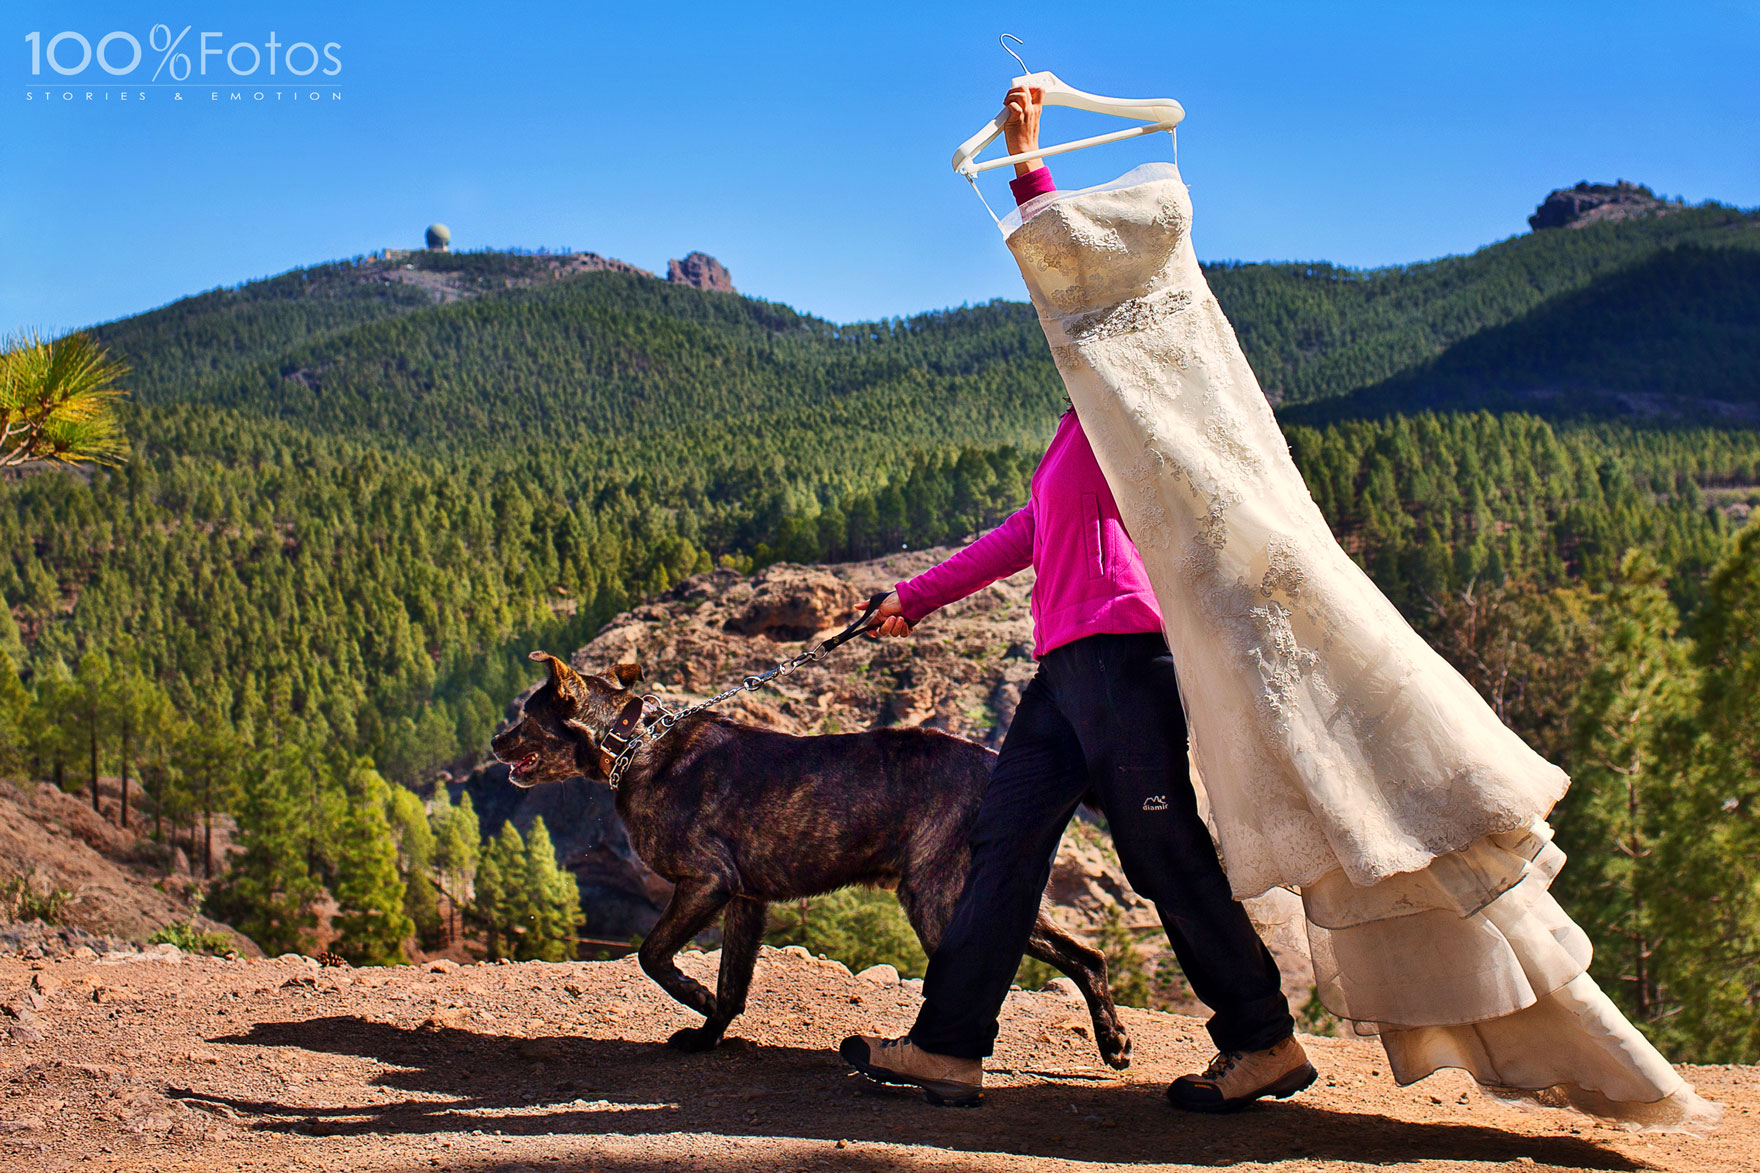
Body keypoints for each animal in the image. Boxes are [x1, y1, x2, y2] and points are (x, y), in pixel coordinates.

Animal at [489, 648, 1133, 1070]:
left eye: (524, 716)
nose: (495, 743)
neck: (637, 744)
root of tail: (995, 759)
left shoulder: (705, 883)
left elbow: (652, 954)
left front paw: (693, 999)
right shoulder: (746, 899)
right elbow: (732, 984)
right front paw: (708, 1036)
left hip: (937, 900)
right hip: (984, 887)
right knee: (1088, 957)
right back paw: (1114, 1042)